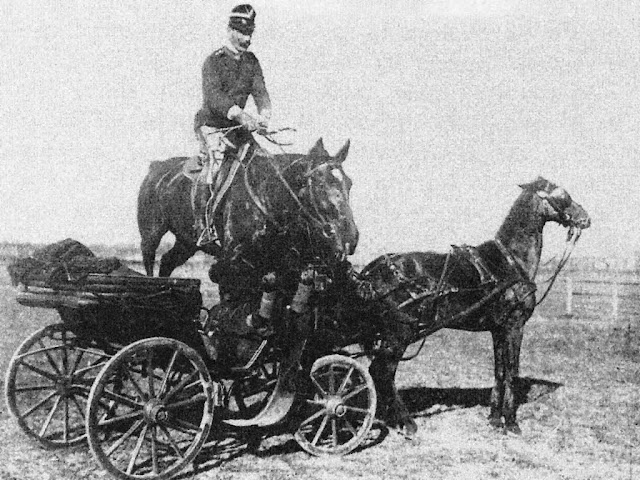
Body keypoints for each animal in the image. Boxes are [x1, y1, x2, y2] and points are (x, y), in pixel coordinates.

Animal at [137, 137, 358, 284]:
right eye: (320, 184)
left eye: (349, 183)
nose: (350, 238)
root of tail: (155, 168)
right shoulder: (233, 262)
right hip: (151, 235)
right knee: (149, 261)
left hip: (187, 242)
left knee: (167, 261)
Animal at [360, 178, 592, 436]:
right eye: (564, 195)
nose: (585, 218)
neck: (512, 261)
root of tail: (374, 268)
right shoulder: (515, 326)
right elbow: (512, 372)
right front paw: (511, 422)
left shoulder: (498, 329)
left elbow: (499, 371)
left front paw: (494, 419)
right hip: (400, 334)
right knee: (382, 372)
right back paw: (405, 422)